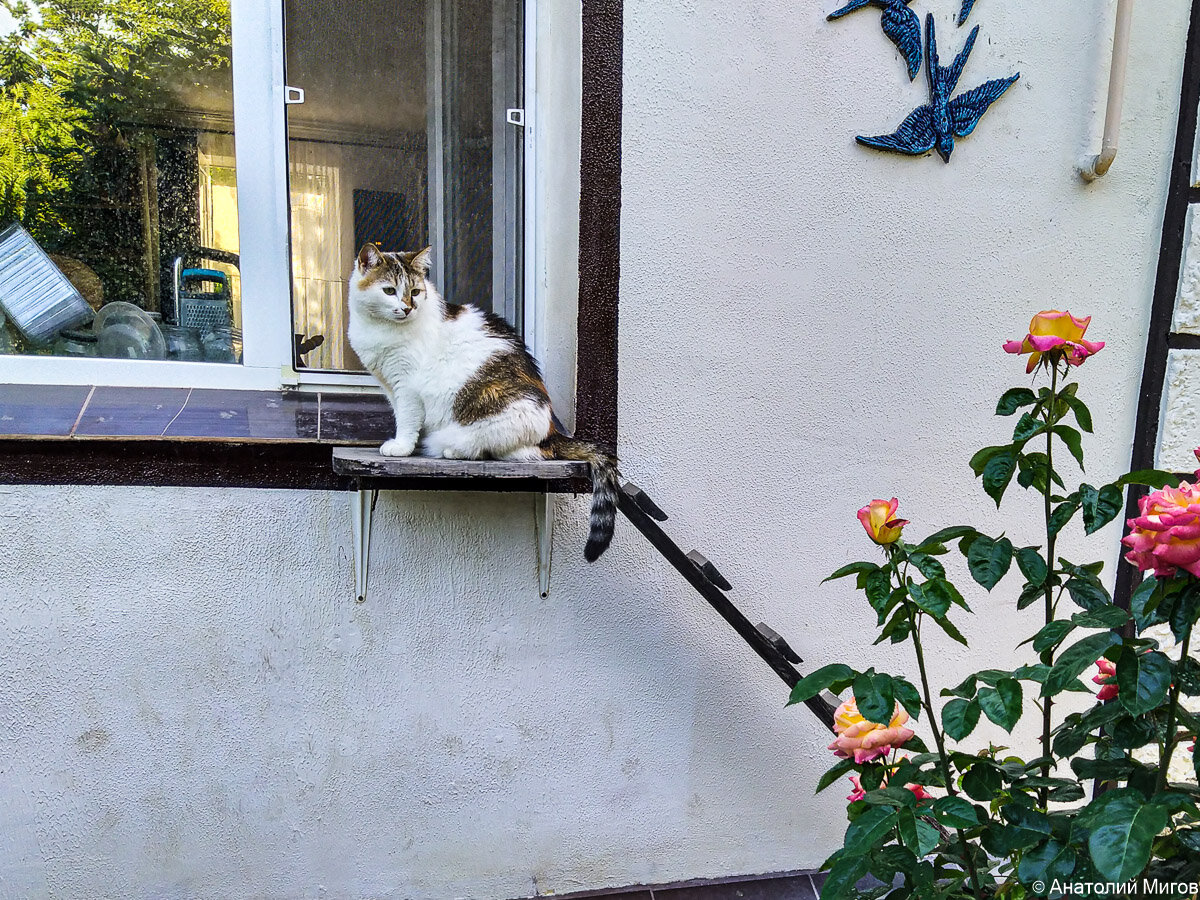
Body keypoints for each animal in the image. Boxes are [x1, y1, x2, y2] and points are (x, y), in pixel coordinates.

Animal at [348, 243, 619, 561]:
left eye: (415, 292)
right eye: (389, 291)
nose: (407, 307)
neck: (380, 329)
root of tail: (554, 430)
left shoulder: (407, 387)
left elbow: (407, 419)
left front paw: (401, 447)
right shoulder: (390, 385)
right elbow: (400, 415)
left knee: (521, 451)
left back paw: (456, 451)